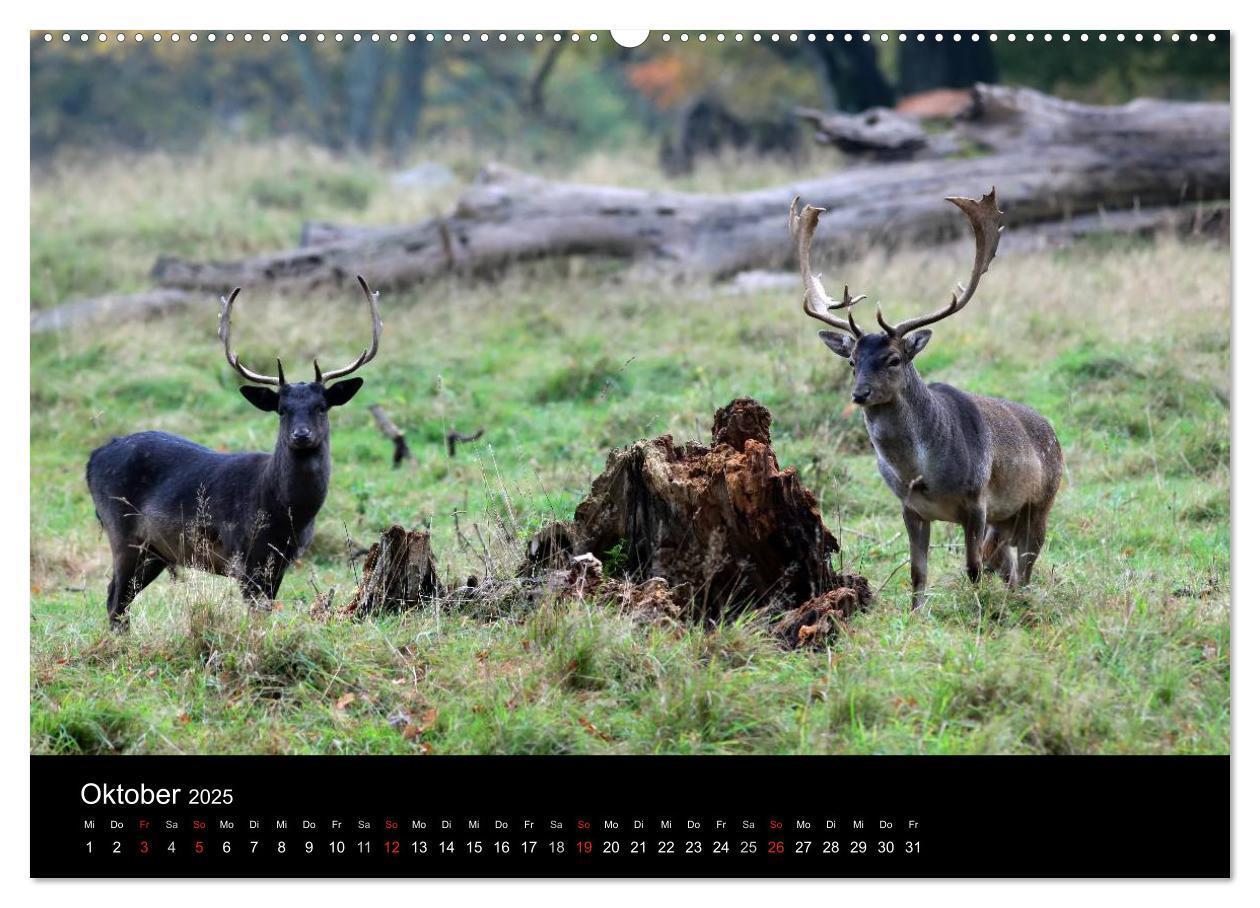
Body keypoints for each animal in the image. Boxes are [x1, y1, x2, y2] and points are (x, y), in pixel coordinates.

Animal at [85, 275, 380, 629]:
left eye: (321, 407)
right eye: (282, 410)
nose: (301, 435)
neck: (285, 512)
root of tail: (93, 457)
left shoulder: (282, 559)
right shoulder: (243, 553)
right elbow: (256, 613)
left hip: (155, 549)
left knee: (116, 595)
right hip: (122, 530)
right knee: (116, 598)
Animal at [791, 186, 1058, 604]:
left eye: (894, 358)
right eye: (852, 360)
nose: (860, 393)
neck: (922, 473)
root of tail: (1053, 431)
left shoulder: (976, 499)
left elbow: (972, 569)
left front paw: (974, 606)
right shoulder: (910, 507)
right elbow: (918, 574)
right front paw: (916, 613)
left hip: (1040, 503)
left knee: (1026, 564)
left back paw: (1023, 600)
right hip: (1005, 519)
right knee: (1008, 564)